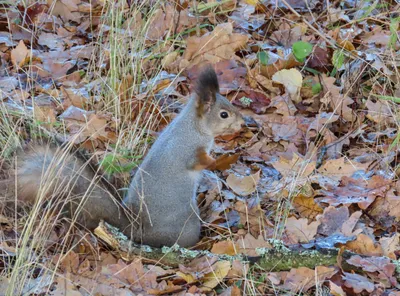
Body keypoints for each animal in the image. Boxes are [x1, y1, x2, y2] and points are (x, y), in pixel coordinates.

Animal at [3, 66, 244, 249]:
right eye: (224, 114)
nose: (243, 123)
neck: (194, 127)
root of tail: (135, 227)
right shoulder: (187, 149)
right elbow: (199, 161)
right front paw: (222, 160)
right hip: (187, 224)